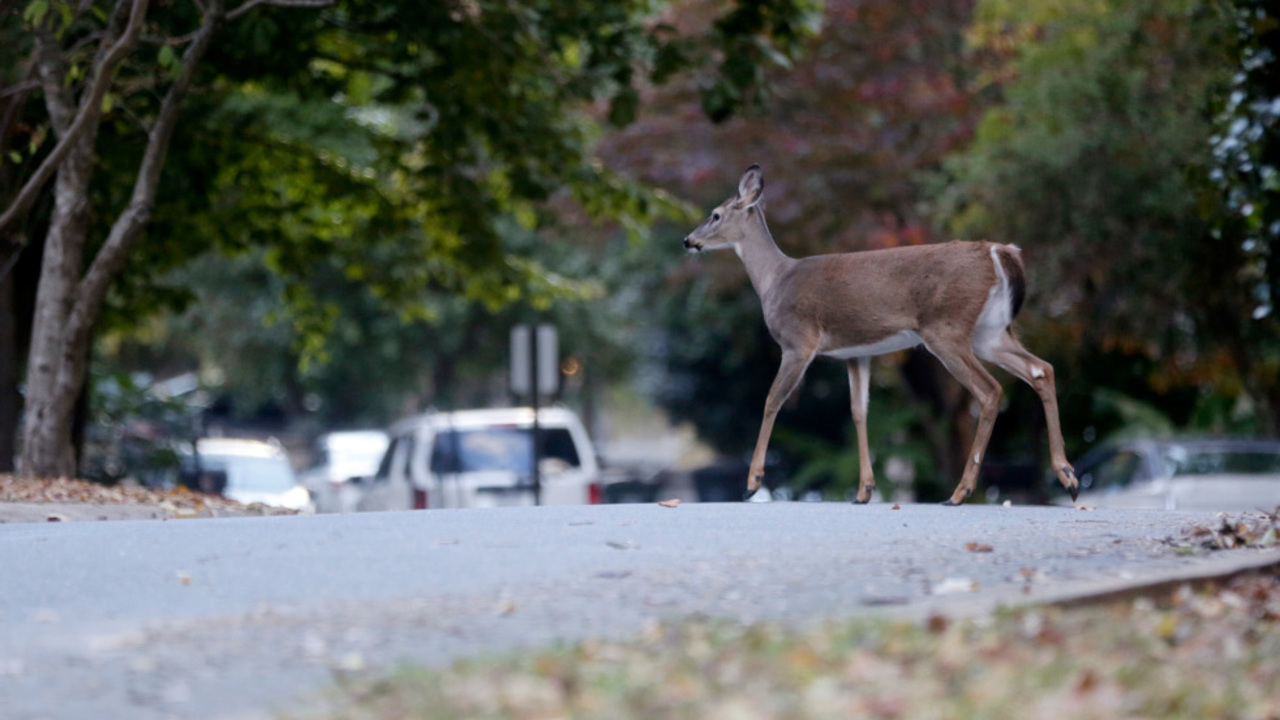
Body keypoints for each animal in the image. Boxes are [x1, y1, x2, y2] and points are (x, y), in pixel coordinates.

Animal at [682, 165, 1079, 506]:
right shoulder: (857, 353)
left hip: (945, 327)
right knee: (1041, 369)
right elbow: (859, 412)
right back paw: (1068, 477)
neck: (774, 280)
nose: (688, 240)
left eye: (715, 215)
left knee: (990, 390)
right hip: (989, 331)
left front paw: (751, 482)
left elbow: (771, 401)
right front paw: (864, 490)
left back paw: (960, 492)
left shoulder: (798, 341)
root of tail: (1000, 251)